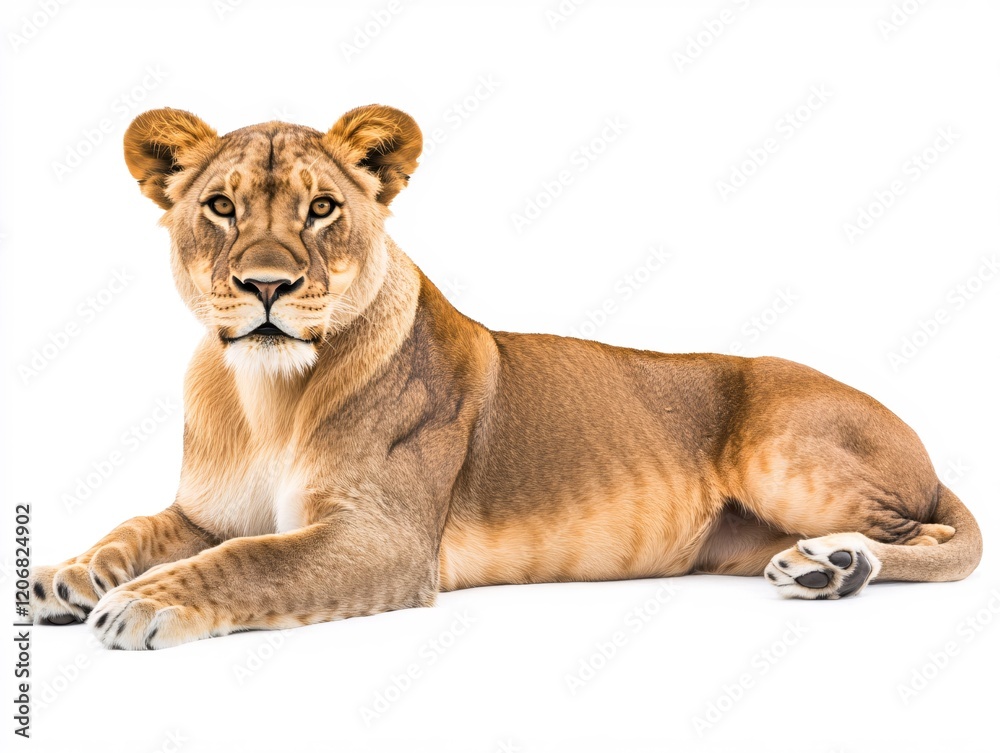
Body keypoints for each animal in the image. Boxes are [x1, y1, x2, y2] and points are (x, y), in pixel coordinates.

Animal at [28, 105, 981, 649]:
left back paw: (835, 564)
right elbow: (141, 527)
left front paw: (140, 602)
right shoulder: (203, 510)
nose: (267, 286)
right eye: (220, 207)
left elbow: (252, 559)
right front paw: (73, 574)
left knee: (934, 536)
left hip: (785, 452)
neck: (267, 396)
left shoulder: (385, 539)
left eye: (322, 208)